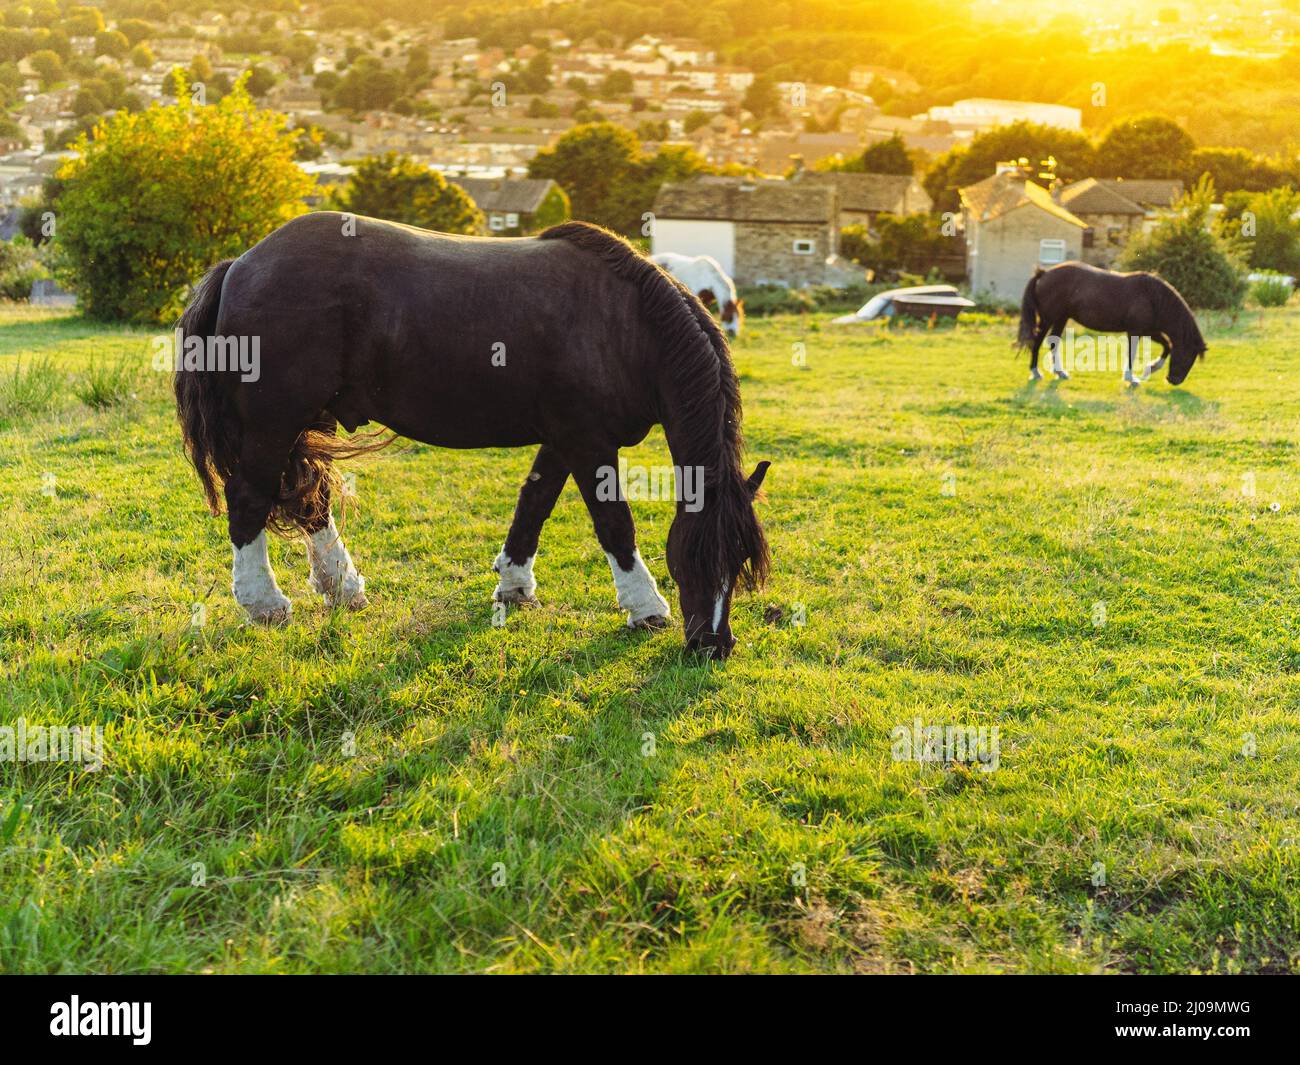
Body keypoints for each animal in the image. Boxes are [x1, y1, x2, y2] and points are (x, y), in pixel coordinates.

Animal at [174, 214, 771, 660]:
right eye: (696, 554)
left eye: (742, 559)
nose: (714, 645)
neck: (624, 325)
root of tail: (240, 265)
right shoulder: (587, 442)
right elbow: (614, 524)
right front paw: (645, 607)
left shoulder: (564, 438)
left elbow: (534, 503)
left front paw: (514, 584)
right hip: (273, 422)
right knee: (249, 500)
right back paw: (264, 603)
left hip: (306, 421)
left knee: (309, 499)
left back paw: (343, 589)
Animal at [1017, 261, 1206, 386]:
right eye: (1189, 356)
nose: (1174, 381)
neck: (1153, 298)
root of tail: (1043, 274)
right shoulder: (1136, 331)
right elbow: (1132, 353)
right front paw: (1132, 378)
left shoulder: (1150, 331)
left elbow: (1167, 346)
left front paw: (1150, 369)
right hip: (1048, 318)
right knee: (1037, 341)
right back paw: (1035, 372)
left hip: (1061, 317)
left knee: (1053, 341)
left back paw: (1060, 372)